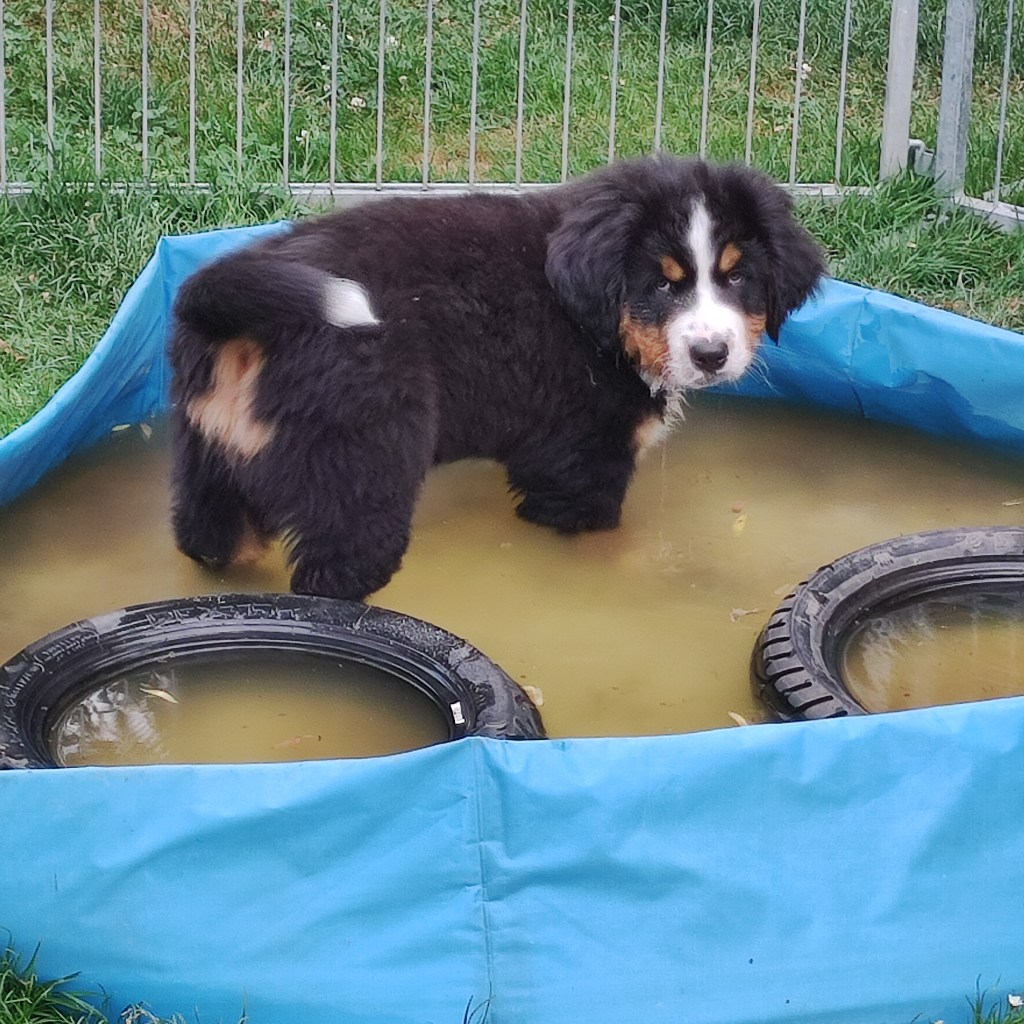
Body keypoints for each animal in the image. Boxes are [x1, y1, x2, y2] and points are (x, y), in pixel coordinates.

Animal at [168, 155, 825, 600]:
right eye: (662, 285)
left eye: (738, 278)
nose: (712, 353)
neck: (594, 323)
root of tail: (238, 304)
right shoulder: (578, 464)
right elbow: (605, 541)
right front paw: (632, 573)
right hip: (360, 469)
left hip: (211, 462)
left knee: (211, 542)